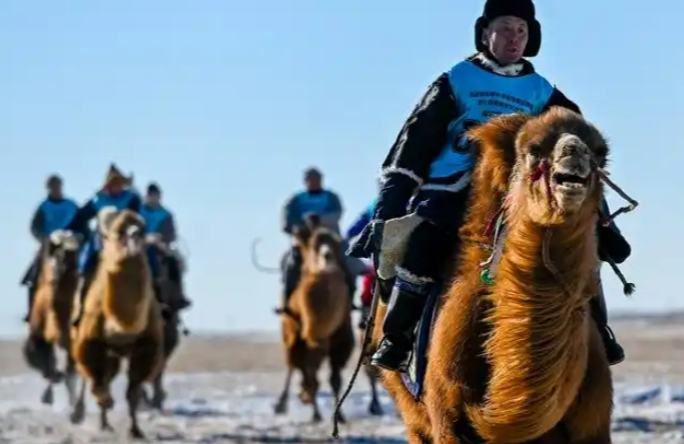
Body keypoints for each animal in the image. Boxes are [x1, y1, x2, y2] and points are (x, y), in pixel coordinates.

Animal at [69, 210, 164, 438]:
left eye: (142, 227)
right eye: (118, 232)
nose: (135, 234)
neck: (122, 325)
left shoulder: (146, 346)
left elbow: (133, 392)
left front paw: (135, 430)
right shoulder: (90, 341)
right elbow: (96, 381)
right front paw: (106, 402)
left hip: (114, 356)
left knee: (109, 377)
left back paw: (106, 422)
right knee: (90, 377)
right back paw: (89, 416)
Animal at [276, 224, 356, 422]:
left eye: (336, 244)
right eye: (312, 245)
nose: (327, 256)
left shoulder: (340, 338)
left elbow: (333, 378)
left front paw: (339, 415)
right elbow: (306, 369)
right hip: (295, 336)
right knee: (296, 365)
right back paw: (287, 404)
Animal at [374, 108, 616, 444]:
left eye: (600, 153)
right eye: (534, 149)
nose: (574, 152)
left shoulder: (593, 426)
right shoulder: (447, 421)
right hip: (411, 414)